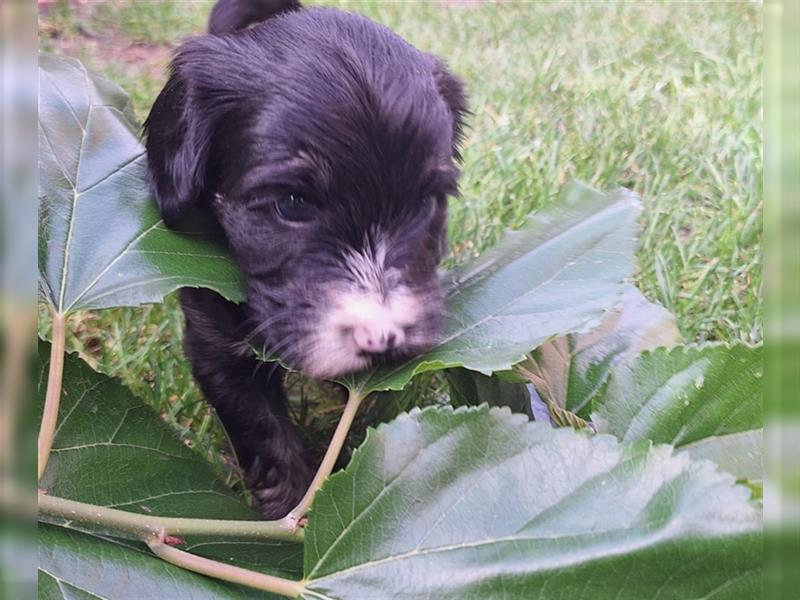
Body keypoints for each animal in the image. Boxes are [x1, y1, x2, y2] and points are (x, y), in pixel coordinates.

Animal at [145, 0, 468, 516]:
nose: (383, 336)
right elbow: (264, 431)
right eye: (291, 204)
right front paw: (289, 511)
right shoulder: (215, 341)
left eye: (424, 203)